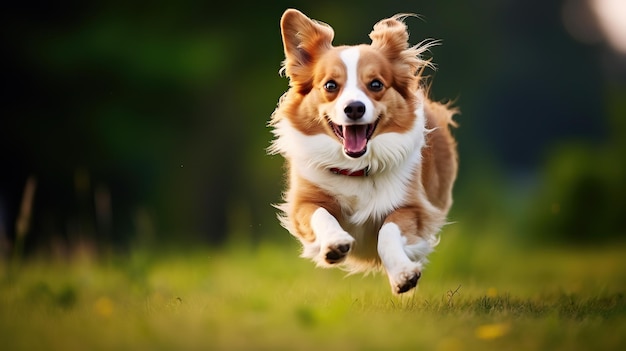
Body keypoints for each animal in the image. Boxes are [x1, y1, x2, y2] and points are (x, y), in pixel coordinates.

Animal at [266, 8, 456, 294]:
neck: (355, 168)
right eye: (330, 86)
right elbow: (320, 214)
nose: (354, 108)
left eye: (376, 84)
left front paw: (403, 274)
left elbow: (388, 231)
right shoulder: (303, 202)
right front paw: (334, 243)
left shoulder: (415, 208)